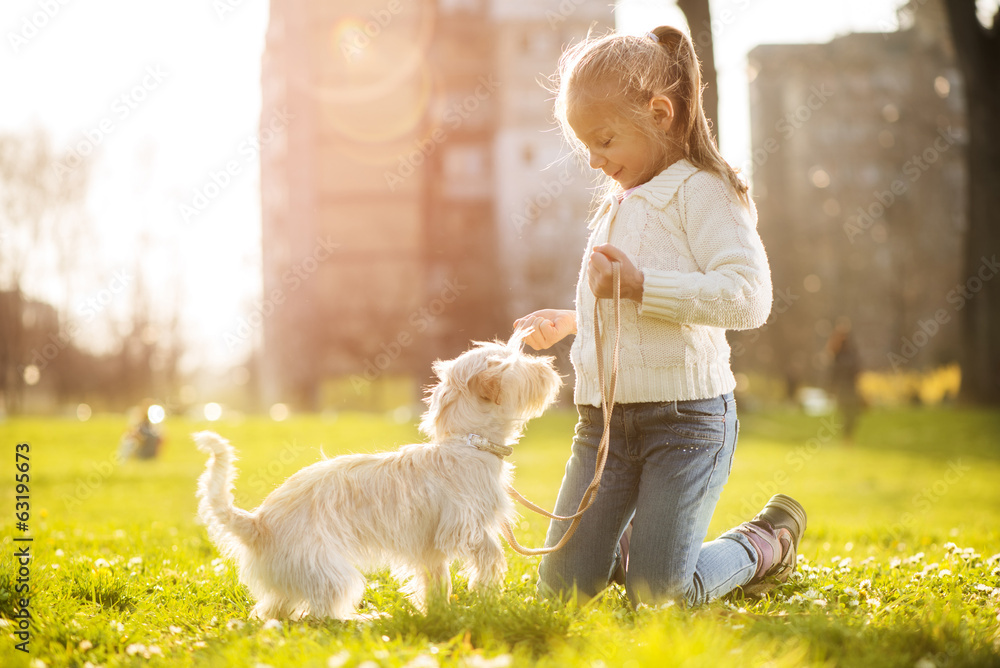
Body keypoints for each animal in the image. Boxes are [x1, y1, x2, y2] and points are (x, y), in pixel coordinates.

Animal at [191, 336, 560, 624]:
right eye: (519, 364)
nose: (548, 363)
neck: (467, 441)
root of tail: (257, 522)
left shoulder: (430, 549)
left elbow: (437, 581)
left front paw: (441, 614)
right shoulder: (462, 526)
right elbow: (490, 551)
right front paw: (487, 587)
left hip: (293, 579)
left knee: (273, 611)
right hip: (334, 574)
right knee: (321, 616)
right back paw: (364, 619)